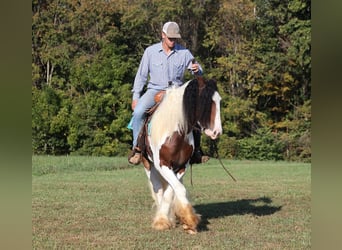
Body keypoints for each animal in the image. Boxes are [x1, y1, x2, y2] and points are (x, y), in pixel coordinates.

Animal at [140, 76, 223, 234]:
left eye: (219, 100)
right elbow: (173, 190)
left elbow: (173, 191)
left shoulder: (182, 166)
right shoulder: (162, 165)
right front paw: (163, 221)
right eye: (204, 102)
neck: (176, 133)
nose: (217, 132)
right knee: (158, 189)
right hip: (148, 165)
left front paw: (186, 221)